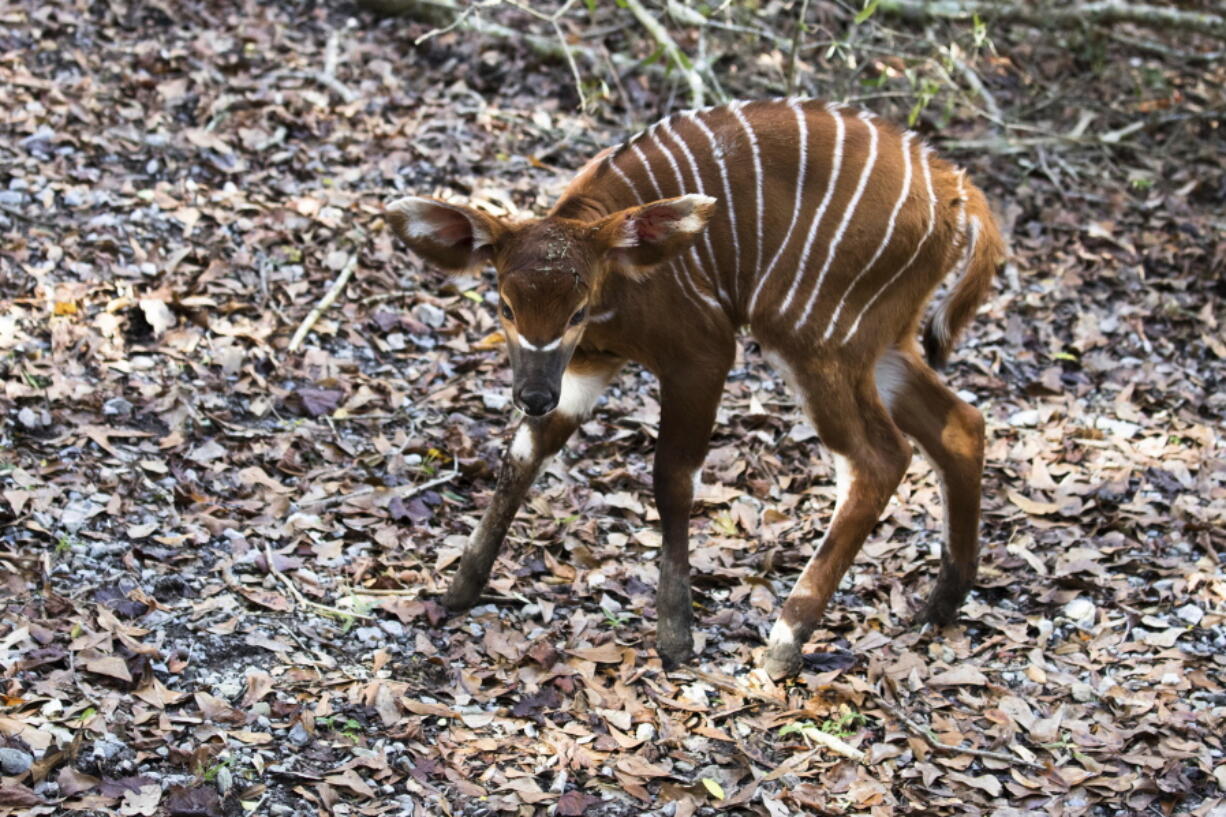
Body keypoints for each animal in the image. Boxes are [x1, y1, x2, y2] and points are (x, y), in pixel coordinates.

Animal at [384, 98, 1005, 677]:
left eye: (577, 310)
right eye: (506, 306)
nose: (532, 396)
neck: (618, 286)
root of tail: (958, 190)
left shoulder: (701, 356)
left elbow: (673, 479)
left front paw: (676, 637)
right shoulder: (584, 367)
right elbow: (523, 454)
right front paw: (459, 590)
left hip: (814, 335)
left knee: (879, 458)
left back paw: (784, 643)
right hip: (882, 342)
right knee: (961, 423)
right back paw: (942, 604)